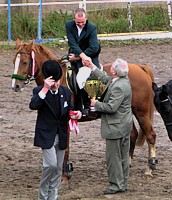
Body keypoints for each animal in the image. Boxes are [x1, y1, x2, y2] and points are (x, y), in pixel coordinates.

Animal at [11, 38, 157, 185]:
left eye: (25, 62)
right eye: (13, 61)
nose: (15, 86)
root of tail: (140, 67)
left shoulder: (66, 121)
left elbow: (65, 148)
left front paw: (64, 176)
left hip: (141, 112)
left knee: (150, 135)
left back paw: (149, 169)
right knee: (132, 134)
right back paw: (127, 163)